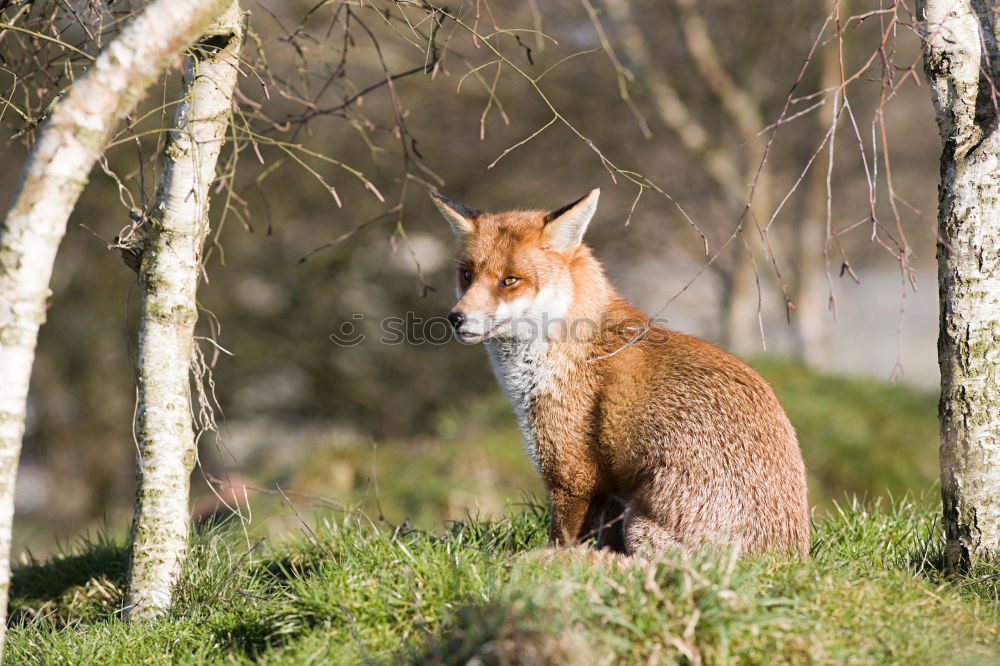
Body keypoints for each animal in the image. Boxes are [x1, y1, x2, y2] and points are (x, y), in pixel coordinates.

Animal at [434, 188, 808, 556]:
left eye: (509, 280)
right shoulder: (606, 490)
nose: (455, 318)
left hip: (638, 524)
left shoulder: (573, 476)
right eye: (466, 275)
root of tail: (785, 556)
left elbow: (562, 544)